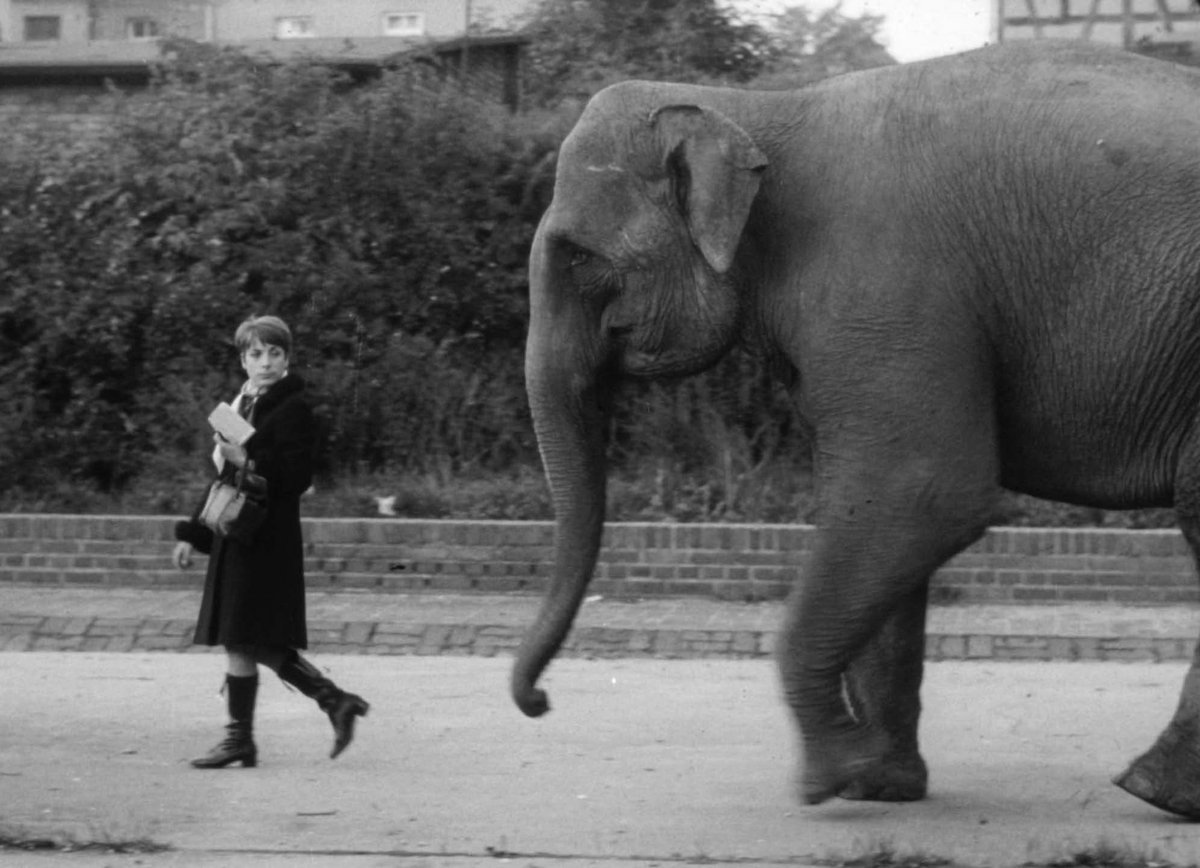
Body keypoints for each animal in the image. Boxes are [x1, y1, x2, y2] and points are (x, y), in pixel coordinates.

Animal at [510, 39, 1200, 818]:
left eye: (577, 256)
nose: (540, 702)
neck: (758, 110)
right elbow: (876, 515)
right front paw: (880, 784)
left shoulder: (883, 284)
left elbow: (921, 494)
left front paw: (828, 779)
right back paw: (1165, 792)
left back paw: (1154, 791)